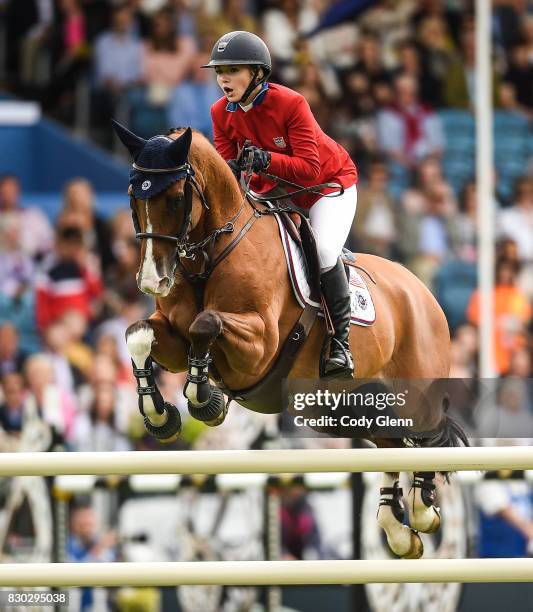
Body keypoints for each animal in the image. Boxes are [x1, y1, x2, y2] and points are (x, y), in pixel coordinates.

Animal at [112, 120, 466, 560]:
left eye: (176, 199)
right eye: (133, 198)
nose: (152, 281)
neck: (207, 257)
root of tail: (421, 291)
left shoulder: (259, 346)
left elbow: (205, 326)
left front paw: (206, 400)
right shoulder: (172, 337)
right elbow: (138, 335)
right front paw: (160, 415)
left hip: (414, 390)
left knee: (425, 439)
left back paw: (421, 509)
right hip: (339, 409)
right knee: (394, 444)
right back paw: (399, 530)